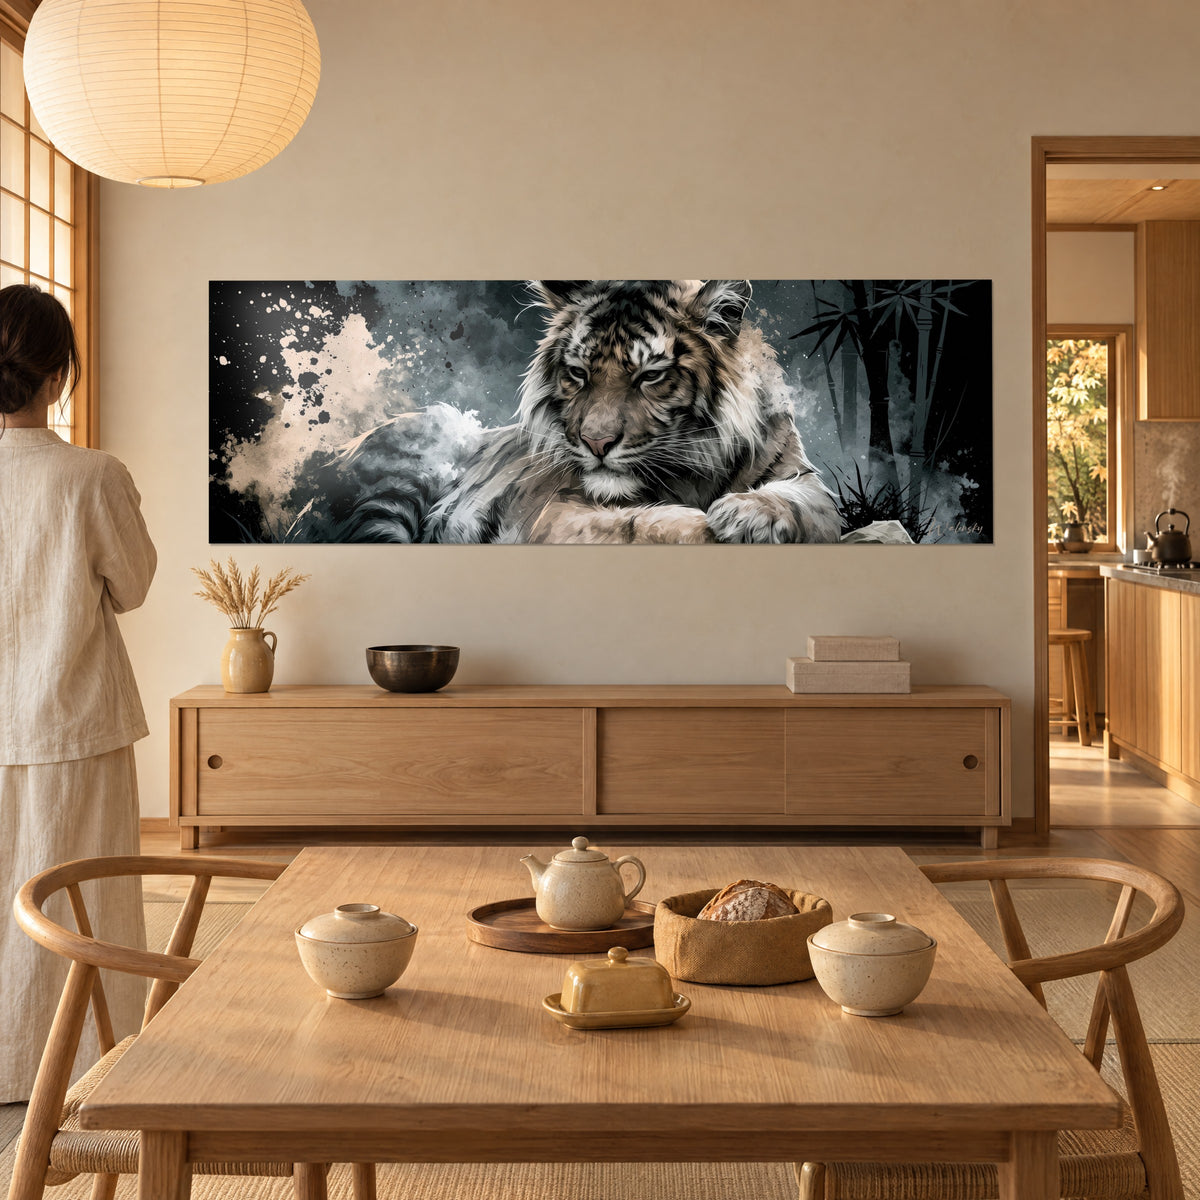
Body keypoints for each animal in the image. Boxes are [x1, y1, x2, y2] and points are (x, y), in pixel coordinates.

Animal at [318, 280, 842, 544]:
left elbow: (804, 504)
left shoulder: (801, 477)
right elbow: (635, 524)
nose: (596, 443)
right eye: (577, 373)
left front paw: (747, 515)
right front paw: (702, 525)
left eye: (650, 376)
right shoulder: (560, 509)